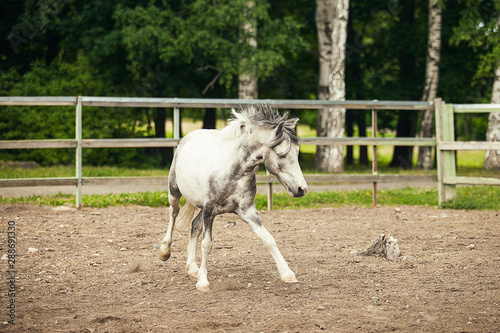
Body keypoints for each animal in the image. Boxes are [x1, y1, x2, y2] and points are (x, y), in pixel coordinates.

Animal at [160, 104, 308, 290]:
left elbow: (268, 239)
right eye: (281, 154)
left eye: (297, 152)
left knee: (194, 225)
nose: (302, 189)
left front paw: (287, 274)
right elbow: (207, 244)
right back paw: (165, 251)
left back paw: (192, 268)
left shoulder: (247, 211)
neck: (234, 171)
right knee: (173, 214)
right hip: (174, 192)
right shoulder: (210, 210)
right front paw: (203, 283)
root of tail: (188, 137)